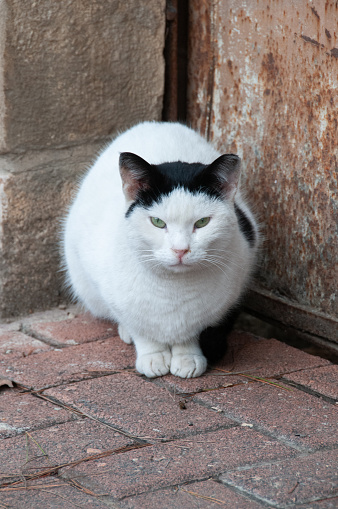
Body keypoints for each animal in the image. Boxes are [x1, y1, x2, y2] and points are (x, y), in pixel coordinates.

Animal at [62, 121, 258, 378]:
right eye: (157, 222)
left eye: (202, 222)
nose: (180, 250)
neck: (173, 290)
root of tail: (159, 123)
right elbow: (141, 329)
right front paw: (152, 356)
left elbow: (191, 334)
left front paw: (187, 357)